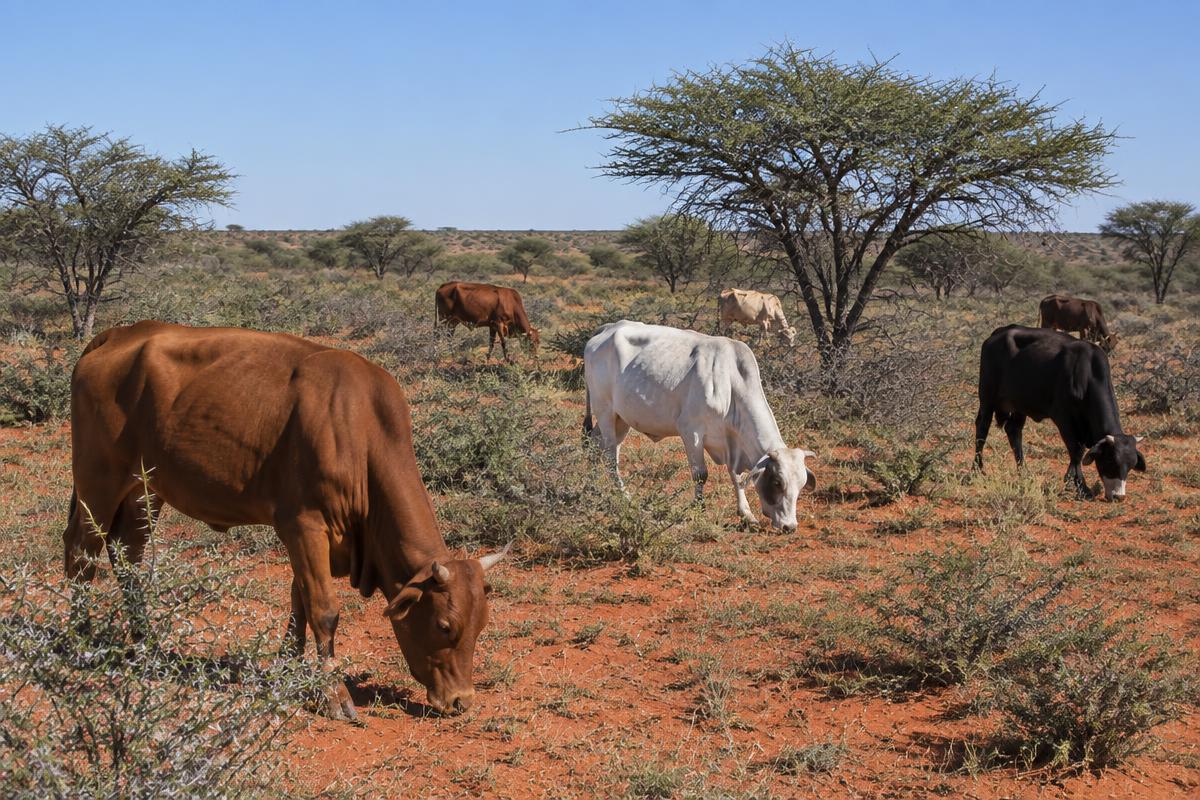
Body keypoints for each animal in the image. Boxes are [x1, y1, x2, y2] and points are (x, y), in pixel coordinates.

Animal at [64, 321, 511, 721]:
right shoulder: (304, 525)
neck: (357, 428)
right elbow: (323, 610)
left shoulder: (307, 539)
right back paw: (79, 638)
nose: (461, 701)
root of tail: (117, 334)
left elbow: (299, 605)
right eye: (444, 625)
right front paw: (333, 695)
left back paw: (144, 642)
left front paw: (289, 672)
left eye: (482, 625)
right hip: (98, 481)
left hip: (145, 490)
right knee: (81, 551)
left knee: (128, 554)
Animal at [583, 320, 815, 530]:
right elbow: (700, 474)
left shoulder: (731, 443)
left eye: (802, 485)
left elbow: (737, 476)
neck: (731, 384)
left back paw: (594, 488)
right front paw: (698, 508)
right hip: (605, 411)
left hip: (621, 419)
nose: (790, 526)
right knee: (610, 456)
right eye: (777, 482)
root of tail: (608, 328)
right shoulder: (691, 431)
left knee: (596, 446)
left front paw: (746, 513)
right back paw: (623, 496)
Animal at [974, 324, 1145, 500]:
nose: (1119, 496)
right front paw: (1081, 486)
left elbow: (1077, 453)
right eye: (1111, 461)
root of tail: (998, 333)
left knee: (1014, 431)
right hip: (987, 397)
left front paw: (1071, 479)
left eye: (1131, 465)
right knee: (982, 429)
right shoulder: (1064, 419)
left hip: (1019, 405)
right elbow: (1077, 451)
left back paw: (1024, 472)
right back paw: (978, 469)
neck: (1086, 374)